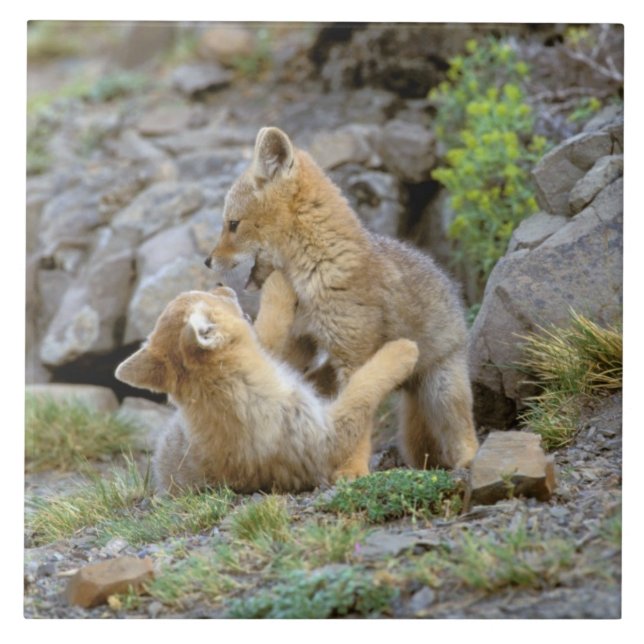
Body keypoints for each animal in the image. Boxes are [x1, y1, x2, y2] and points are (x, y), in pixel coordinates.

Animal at [114, 270, 419, 494]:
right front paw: (403, 351)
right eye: (204, 297)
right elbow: (362, 388)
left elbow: (273, 337)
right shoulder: (323, 437)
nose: (220, 283)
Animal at [204, 126, 480, 474]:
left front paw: (351, 471)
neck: (317, 270)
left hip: (443, 392)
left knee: (464, 430)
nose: (207, 261)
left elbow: (359, 411)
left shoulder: (354, 357)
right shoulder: (301, 343)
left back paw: (468, 460)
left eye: (233, 224)